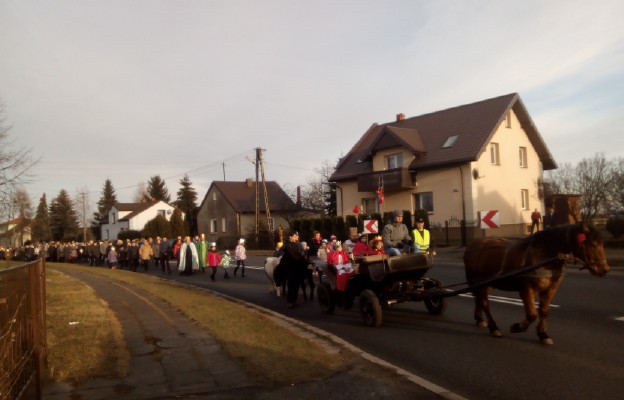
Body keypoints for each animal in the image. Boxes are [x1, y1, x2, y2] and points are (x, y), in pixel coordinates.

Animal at [464, 223, 608, 346]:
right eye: (593, 244)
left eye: (602, 244)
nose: (605, 269)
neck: (545, 256)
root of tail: (472, 244)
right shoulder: (527, 289)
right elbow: (532, 314)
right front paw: (517, 327)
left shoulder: (550, 289)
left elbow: (543, 311)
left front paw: (543, 334)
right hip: (479, 282)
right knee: (485, 303)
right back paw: (494, 328)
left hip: (488, 284)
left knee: (479, 299)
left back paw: (480, 319)